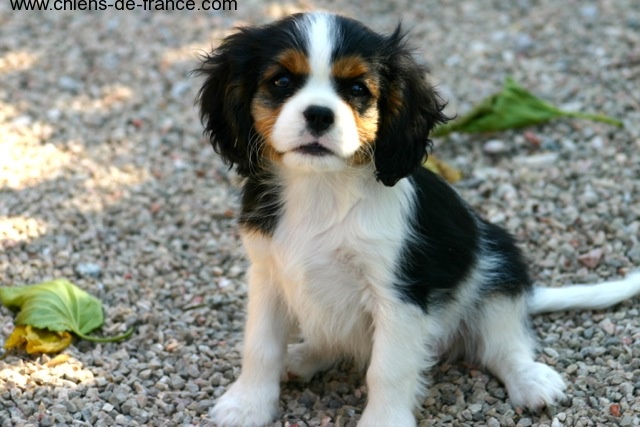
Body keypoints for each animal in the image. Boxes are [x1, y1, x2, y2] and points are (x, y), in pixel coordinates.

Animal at [195, 12, 640, 427]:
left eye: (357, 89)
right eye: (282, 81)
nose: (319, 115)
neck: (322, 188)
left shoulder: (400, 294)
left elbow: (387, 370)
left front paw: (382, 421)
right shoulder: (267, 275)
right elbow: (260, 347)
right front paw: (247, 405)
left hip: (498, 272)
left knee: (504, 346)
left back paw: (530, 381)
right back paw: (303, 357)